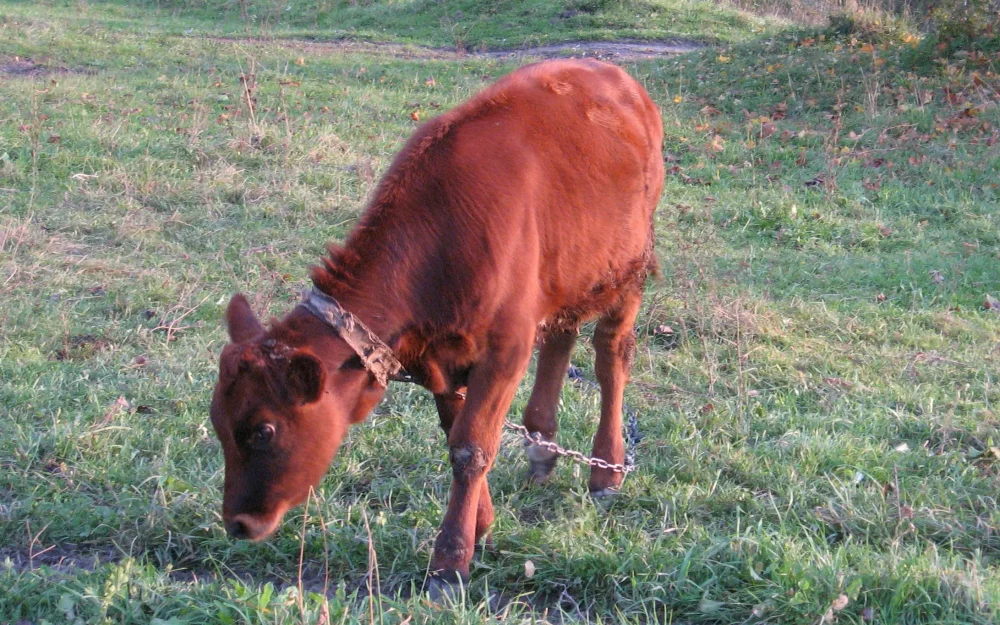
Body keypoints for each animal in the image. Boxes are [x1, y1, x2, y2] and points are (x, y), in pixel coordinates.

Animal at [210, 58, 664, 588]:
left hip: (629, 270)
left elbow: (471, 447)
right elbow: (457, 435)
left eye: (264, 431)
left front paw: (450, 561)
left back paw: (607, 469)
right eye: (217, 421)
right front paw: (480, 525)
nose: (238, 523)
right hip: (566, 273)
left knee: (610, 356)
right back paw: (542, 448)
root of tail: (610, 71)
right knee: (561, 337)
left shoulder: (506, 347)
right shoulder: (442, 354)